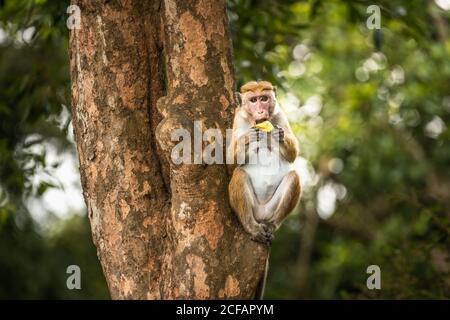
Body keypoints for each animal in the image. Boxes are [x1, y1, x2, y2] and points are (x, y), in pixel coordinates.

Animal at [229, 80, 302, 300]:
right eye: (253, 100)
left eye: (264, 98)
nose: (261, 110)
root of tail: (260, 216)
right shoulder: (238, 120)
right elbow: (230, 165)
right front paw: (247, 139)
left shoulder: (279, 115)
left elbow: (292, 155)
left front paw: (279, 136)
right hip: (252, 209)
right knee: (239, 174)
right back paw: (251, 227)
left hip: (270, 209)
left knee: (294, 177)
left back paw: (272, 225)